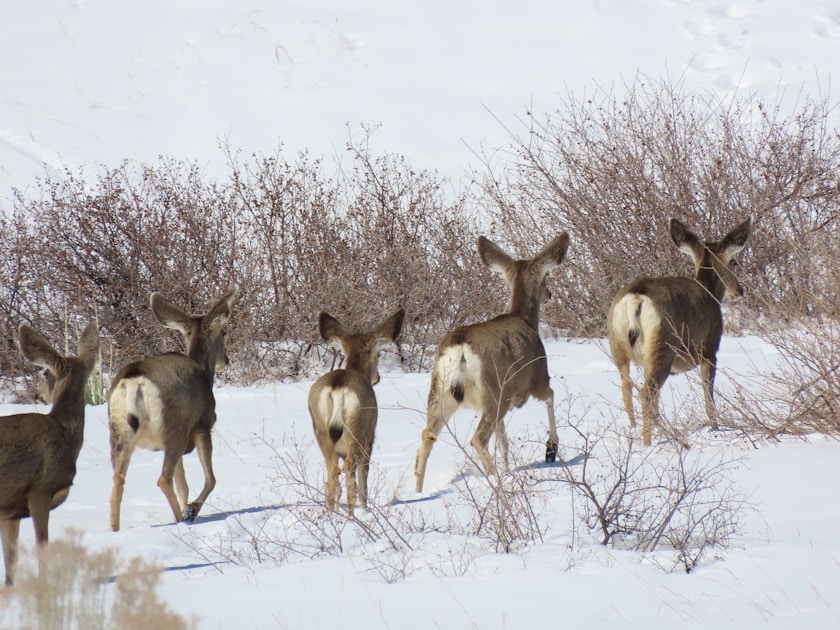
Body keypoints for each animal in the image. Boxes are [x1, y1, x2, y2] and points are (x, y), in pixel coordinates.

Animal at [0, 322, 99, 586]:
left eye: (44, 373)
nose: (37, 395)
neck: (63, 433)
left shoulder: (10, 509)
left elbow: (11, 561)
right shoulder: (40, 488)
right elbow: (41, 547)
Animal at [108, 285, 239, 531]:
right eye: (224, 333)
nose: (226, 360)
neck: (203, 371)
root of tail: (134, 382)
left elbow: (183, 485)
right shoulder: (203, 424)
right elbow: (210, 479)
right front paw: (192, 509)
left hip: (120, 432)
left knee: (118, 480)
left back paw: (115, 530)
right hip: (173, 427)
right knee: (163, 478)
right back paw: (181, 519)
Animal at [308, 309, 405, 516]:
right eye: (379, 354)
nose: (378, 377)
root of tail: (337, 387)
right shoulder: (370, 438)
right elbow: (364, 477)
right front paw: (365, 508)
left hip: (320, 428)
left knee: (332, 471)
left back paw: (332, 513)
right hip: (357, 427)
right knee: (350, 470)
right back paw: (353, 515)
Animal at [414, 233, 570, 493]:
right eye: (547, 275)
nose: (550, 294)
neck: (525, 320)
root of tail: (460, 348)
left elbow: (503, 439)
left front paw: (508, 468)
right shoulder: (536, 376)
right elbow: (550, 395)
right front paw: (551, 450)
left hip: (440, 393)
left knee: (427, 436)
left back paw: (418, 492)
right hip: (494, 391)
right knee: (478, 438)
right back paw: (495, 481)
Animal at [607, 217, 753, 446]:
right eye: (734, 262)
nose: (739, 291)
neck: (710, 292)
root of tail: (636, 299)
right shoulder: (710, 348)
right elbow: (708, 391)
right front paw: (715, 426)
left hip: (618, 345)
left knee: (627, 388)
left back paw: (637, 430)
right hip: (664, 344)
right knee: (646, 392)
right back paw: (649, 441)